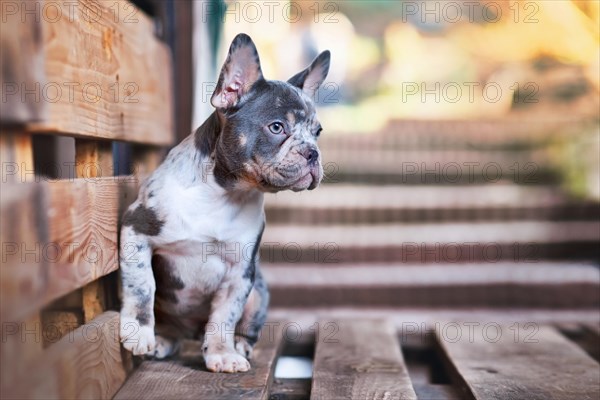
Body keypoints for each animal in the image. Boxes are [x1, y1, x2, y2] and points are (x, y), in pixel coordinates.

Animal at [119, 32, 330, 374]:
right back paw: (162, 338)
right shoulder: (137, 231)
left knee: (244, 325)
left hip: (258, 289)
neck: (223, 193)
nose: (312, 152)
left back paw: (240, 346)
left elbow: (224, 318)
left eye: (318, 132)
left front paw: (221, 353)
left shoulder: (240, 273)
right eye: (276, 127)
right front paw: (139, 332)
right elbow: (142, 287)